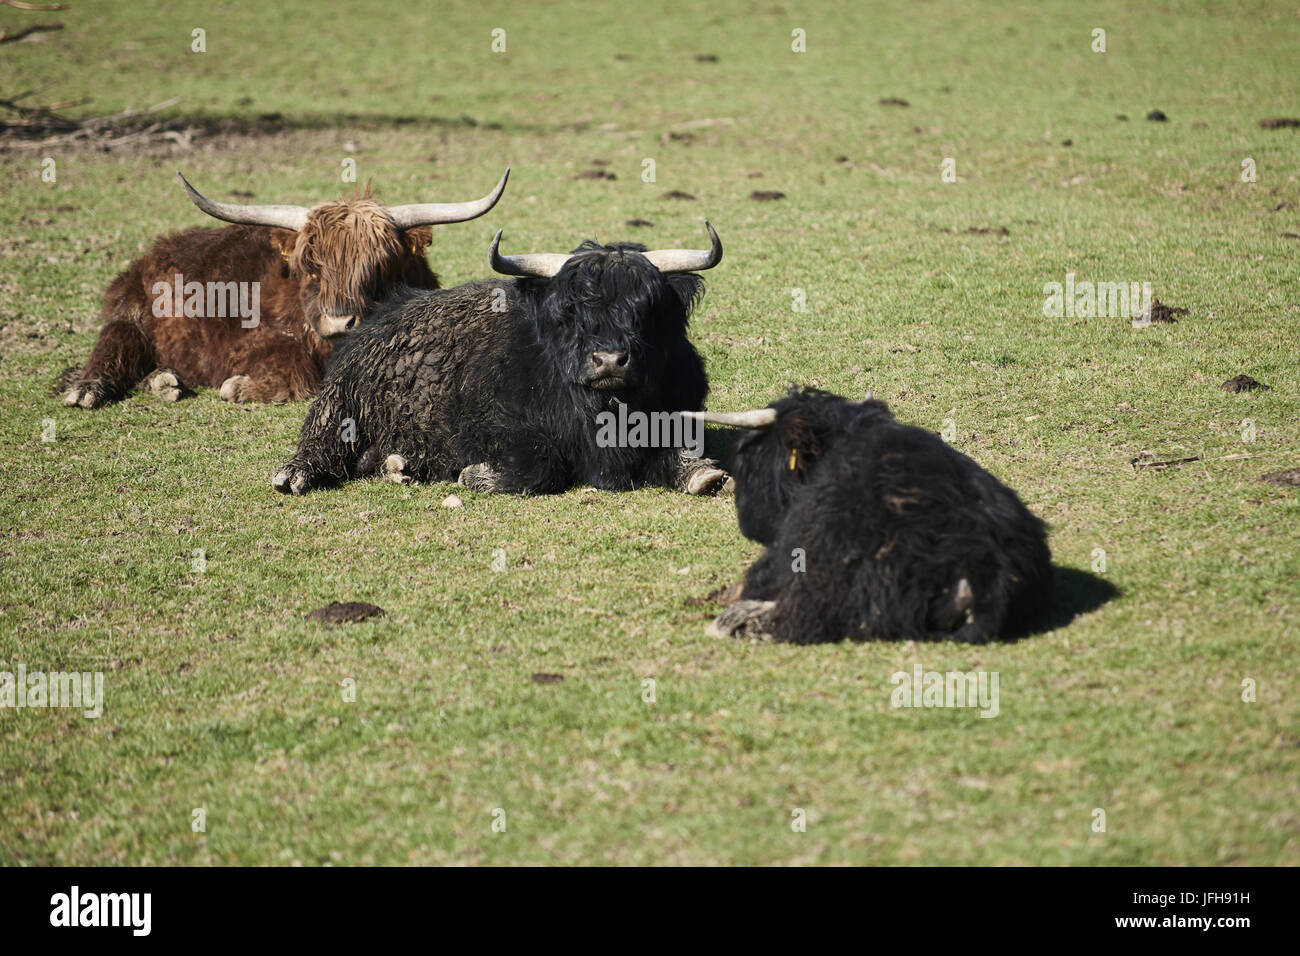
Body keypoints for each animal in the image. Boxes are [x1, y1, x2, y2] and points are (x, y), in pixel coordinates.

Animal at [58, 168, 510, 408]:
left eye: (379, 268)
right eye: (311, 269)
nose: (339, 322)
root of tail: (155, 250)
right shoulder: (251, 341)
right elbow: (291, 364)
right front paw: (237, 386)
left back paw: (165, 383)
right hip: (128, 315)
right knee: (113, 344)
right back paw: (86, 389)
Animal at [271, 223, 730, 497]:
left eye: (645, 308)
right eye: (571, 311)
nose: (609, 361)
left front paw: (703, 474)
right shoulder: (488, 429)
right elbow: (540, 468)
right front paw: (475, 475)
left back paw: (399, 466)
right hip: (340, 405)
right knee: (318, 439)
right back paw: (294, 475)